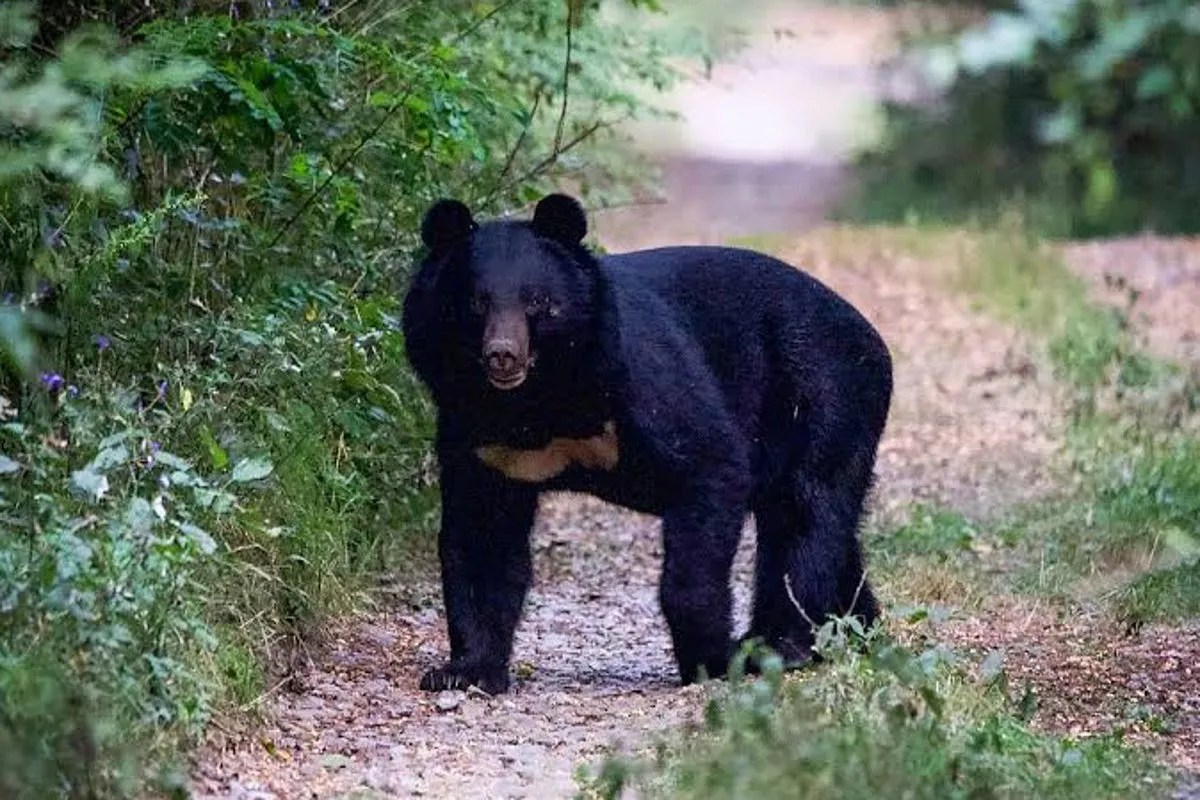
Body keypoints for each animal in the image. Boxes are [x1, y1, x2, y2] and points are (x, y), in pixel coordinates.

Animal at [402, 193, 892, 695]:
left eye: (538, 302)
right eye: (475, 302)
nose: (503, 355)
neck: (539, 400)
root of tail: (869, 333)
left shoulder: (642, 384)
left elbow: (708, 466)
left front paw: (710, 658)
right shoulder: (480, 438)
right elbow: (481, 538)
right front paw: (464, 671)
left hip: (823, 393)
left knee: (804, 516)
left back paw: (779, 644)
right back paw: (856, 630)